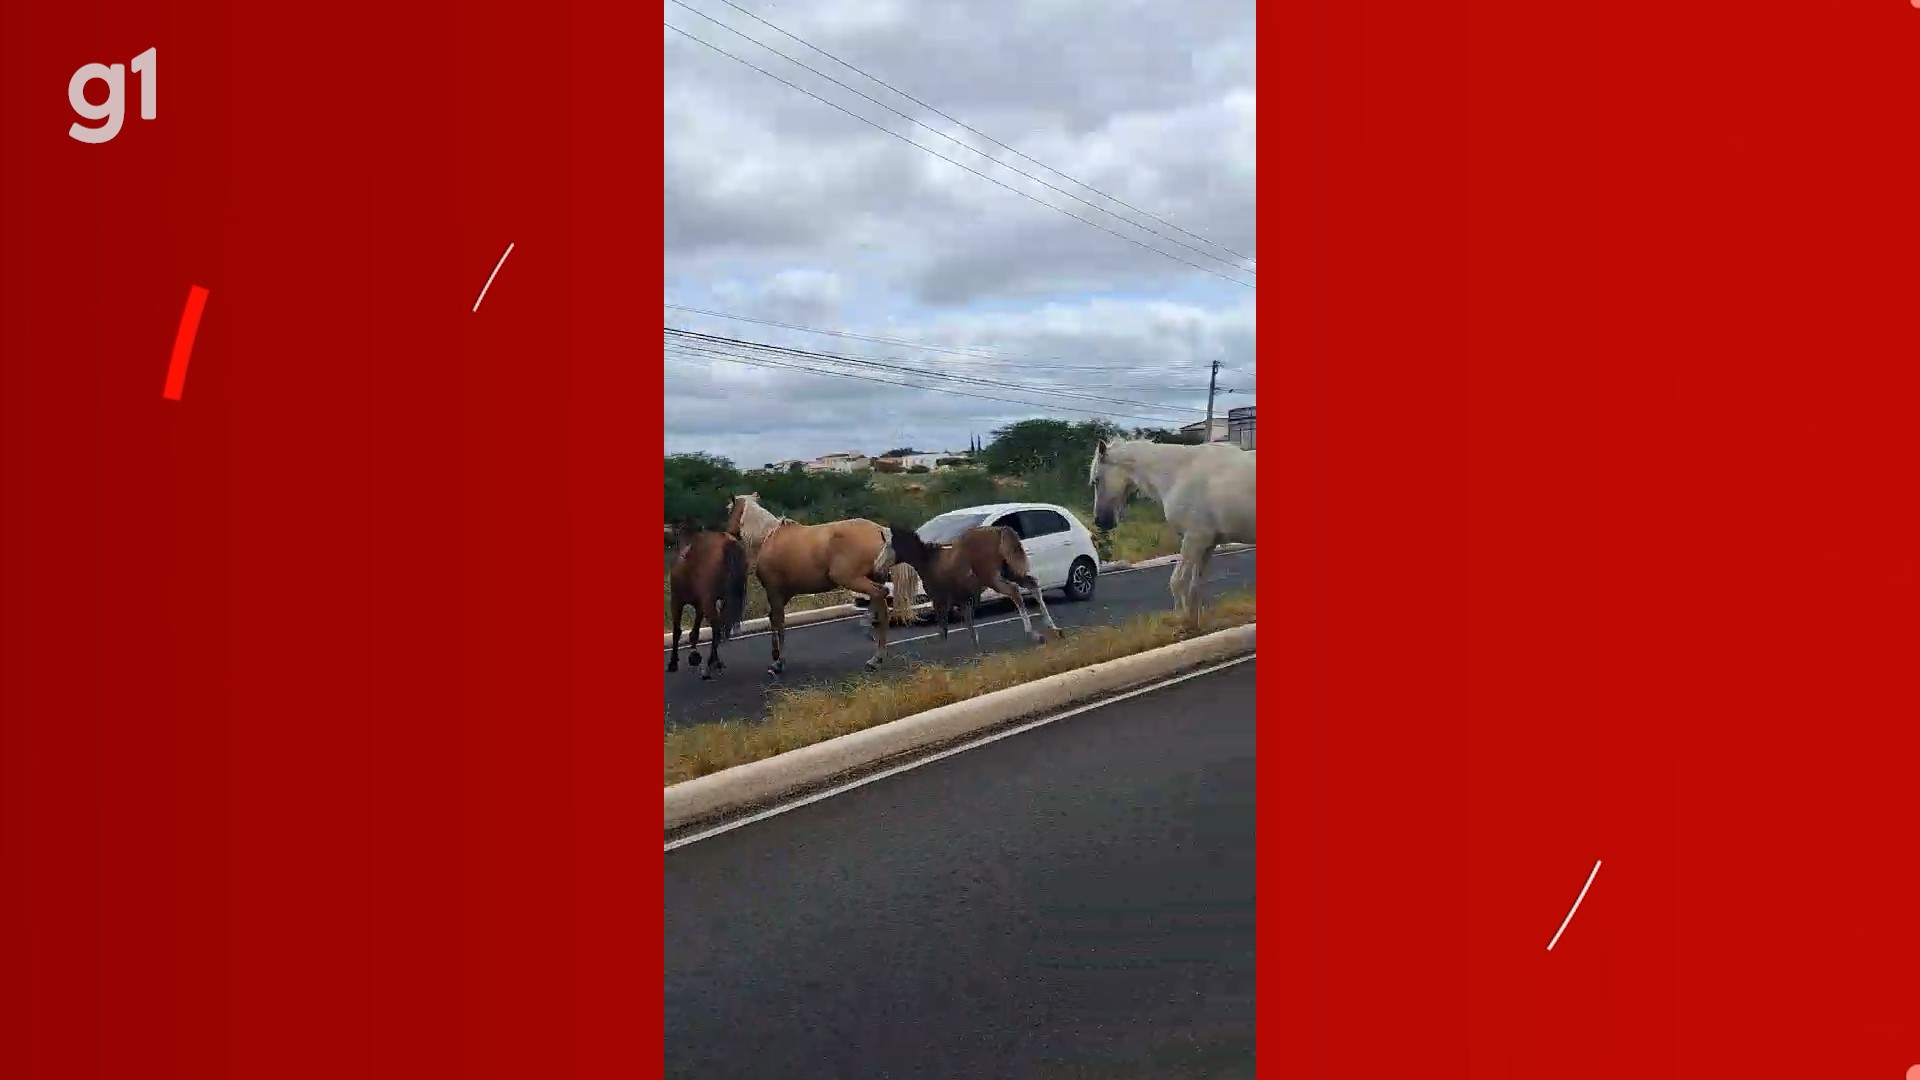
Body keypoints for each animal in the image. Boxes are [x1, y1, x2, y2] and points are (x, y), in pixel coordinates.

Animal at [664, 522, 744, 680]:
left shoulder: (677, 601)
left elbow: (677, 631)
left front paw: (673, 662)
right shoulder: (699, 604)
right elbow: (694, 632)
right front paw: (694, 657)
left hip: (709, 600)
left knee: (717, 625)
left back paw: (711, 663)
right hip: (726, 600)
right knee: (721, 624)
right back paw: (714, 661)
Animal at [725, 490, 921, 672]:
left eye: (729, 510)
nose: (728, 533)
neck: (767, 537)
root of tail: (879, 529)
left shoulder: (774, 591)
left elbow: (777, 621)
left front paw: (777, 661)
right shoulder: (784, 593)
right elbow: (776, 619)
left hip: (851, 579)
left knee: (879, 596)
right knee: (881, 603)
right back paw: (875, 654)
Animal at [887, 522, 1067, 645]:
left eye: (889, 545)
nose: (881, 567)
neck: (929, 562)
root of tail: (1000, 531)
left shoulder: (940, 600)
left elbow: (944, 630)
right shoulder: (962, 599)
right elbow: (970, 628)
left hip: (992, 577)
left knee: (1014, 591)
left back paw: (1033, 633)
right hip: (1011, 571)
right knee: (1033, 585)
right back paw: (1054, 628)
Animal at [1090, 434, 1251, 622]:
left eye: (1096, 480)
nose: (1100, 521)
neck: (1179, 473)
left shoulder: (1194, 539)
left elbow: (1177, 582)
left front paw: (1182, 620)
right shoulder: (1208, 544)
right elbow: (1196, 586)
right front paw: (1193, 621)